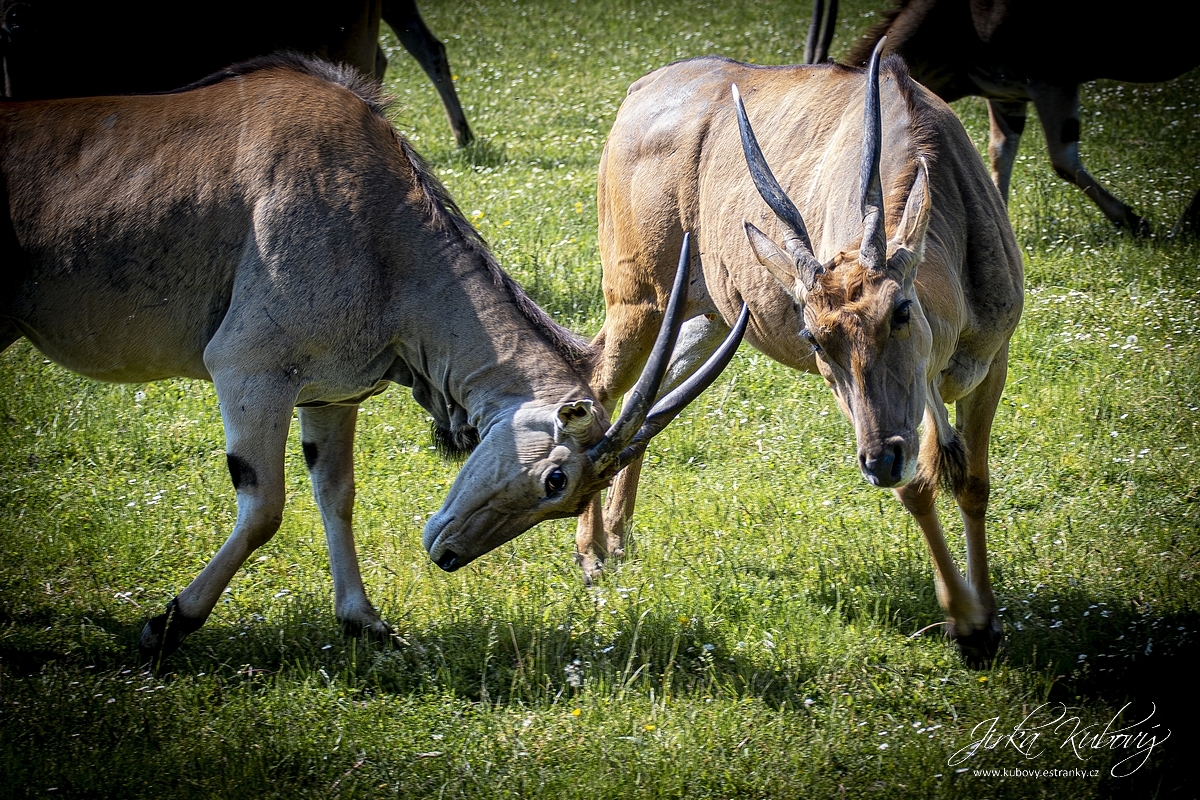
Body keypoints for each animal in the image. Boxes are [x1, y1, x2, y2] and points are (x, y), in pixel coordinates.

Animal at [0, 56, 744, 666]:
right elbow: (264, 507)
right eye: (556, 480)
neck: (378, 225)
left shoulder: (327, 395)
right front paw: (171, 622)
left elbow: (337, 493)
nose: (447, 555)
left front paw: (364, 622)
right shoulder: (249, 371)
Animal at [576, 43, 1027, 662]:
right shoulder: (863, 401)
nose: (879, 461)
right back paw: (592, 553)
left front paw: (989, 622)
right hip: (636, 300)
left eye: (901, 310)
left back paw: (618, 541)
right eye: (814, 338)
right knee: (597, 385)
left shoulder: (990, 364)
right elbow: (919, 486)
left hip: (707, 320)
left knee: (645, 397)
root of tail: (639, 90)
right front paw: (967, 622)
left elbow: (973, 483)